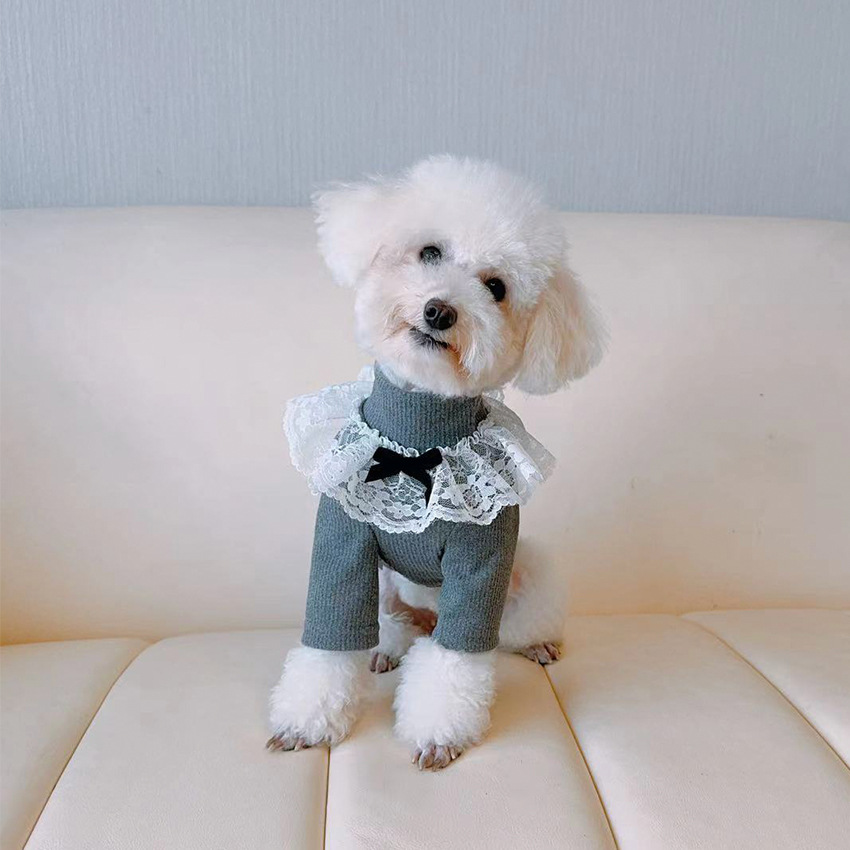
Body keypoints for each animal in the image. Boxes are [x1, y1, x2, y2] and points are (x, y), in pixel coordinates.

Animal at [268, 156, 605, 770]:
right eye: (429, 252)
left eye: (496, 287)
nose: (440, 311)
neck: (413, 444)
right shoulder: (344, 544)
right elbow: (330, 638)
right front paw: (306, 720)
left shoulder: (483, 559)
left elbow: (456, 659)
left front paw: (438, 732)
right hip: (387, 583)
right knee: (392, 623)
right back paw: (386, 650)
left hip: (527, 565)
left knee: (507, 621)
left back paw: (536, 641)